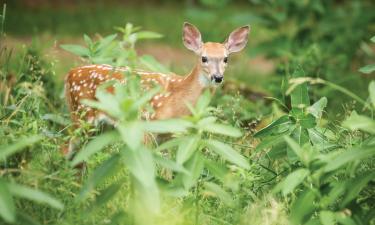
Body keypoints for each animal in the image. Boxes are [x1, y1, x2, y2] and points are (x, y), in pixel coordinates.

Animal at [63, 22, 251, 156]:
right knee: (65, 147)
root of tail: (70, 74)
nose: (217, 77)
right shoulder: (147, 126)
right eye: (204, 58)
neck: (178, 97)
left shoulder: (168, 135)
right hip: (82, 115)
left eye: (226, 59)